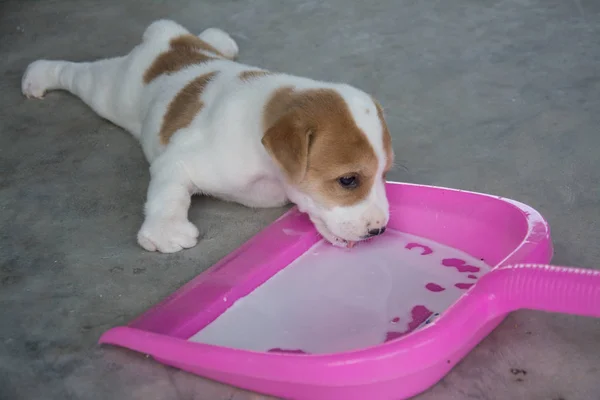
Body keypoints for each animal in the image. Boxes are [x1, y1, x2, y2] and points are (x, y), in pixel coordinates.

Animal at [21, 19, 394, 253]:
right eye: (348, 180)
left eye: (383, 174)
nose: (380, 230)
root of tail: (166, 40)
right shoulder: (179, 161)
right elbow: (169, 192)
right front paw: (166, 231)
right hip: (111, 93)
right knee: (77, 74)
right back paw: (40, 75)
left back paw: (217, 40)